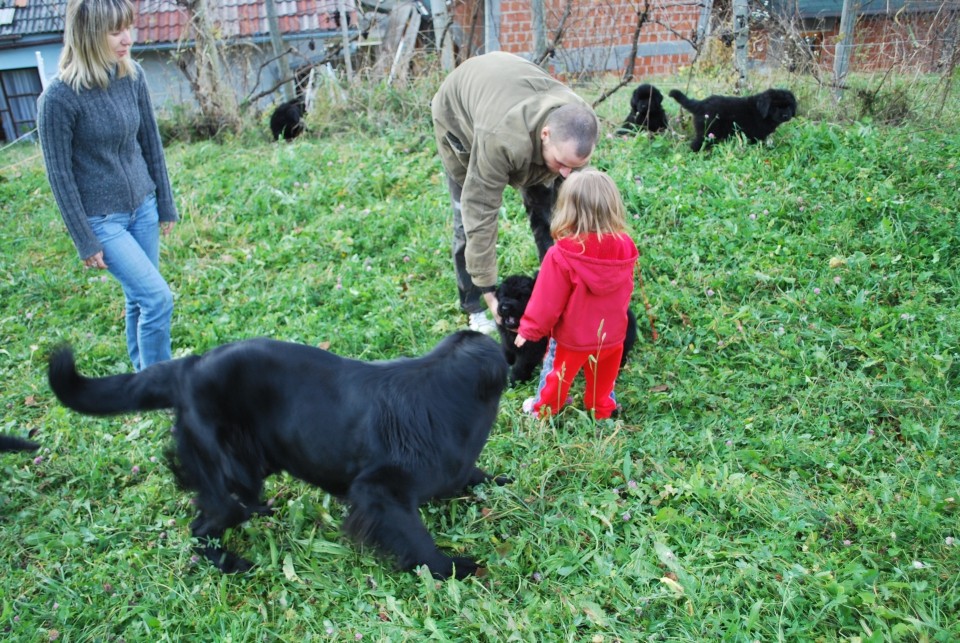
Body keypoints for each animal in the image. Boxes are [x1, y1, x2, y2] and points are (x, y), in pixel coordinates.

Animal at [47, 332, 510, 580]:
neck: (441, 388)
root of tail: (187, 368)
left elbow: (470, 477)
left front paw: (496, 481)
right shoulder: (377, 490)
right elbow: (416, 538)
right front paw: (452, 567)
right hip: (232, 479)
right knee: (201, 526)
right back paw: (232, 563)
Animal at [496, 274, 636, 384]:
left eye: (520, 297)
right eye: (503, 295)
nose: (505, 307)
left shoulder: (532, 351)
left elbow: (521, 366)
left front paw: (514, 381)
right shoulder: (508, 342)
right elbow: (506, 352)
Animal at [668, 87, 796, 152]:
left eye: (788, 106)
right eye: (776, 107)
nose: (786, 116)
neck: (760, 111)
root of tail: (700, 104)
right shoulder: (756, 134)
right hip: (708, 132)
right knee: (696, 144)